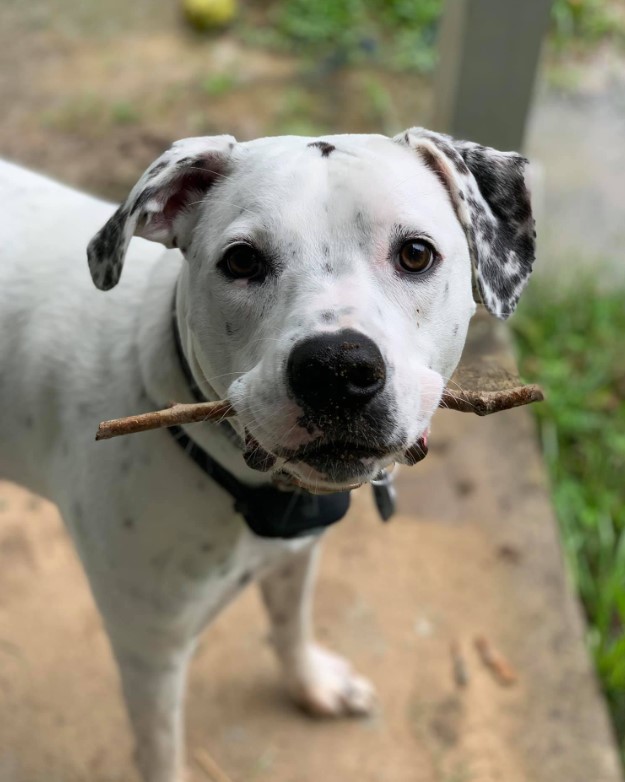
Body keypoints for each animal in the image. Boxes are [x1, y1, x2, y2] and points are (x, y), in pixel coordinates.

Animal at [0, 129, 532, 782]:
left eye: (415, 254)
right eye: (241, 261)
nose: (337, 370)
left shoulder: (296, 554)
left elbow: (289, 626)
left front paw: (312, 683)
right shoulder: (149, 654)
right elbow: (161, 752)